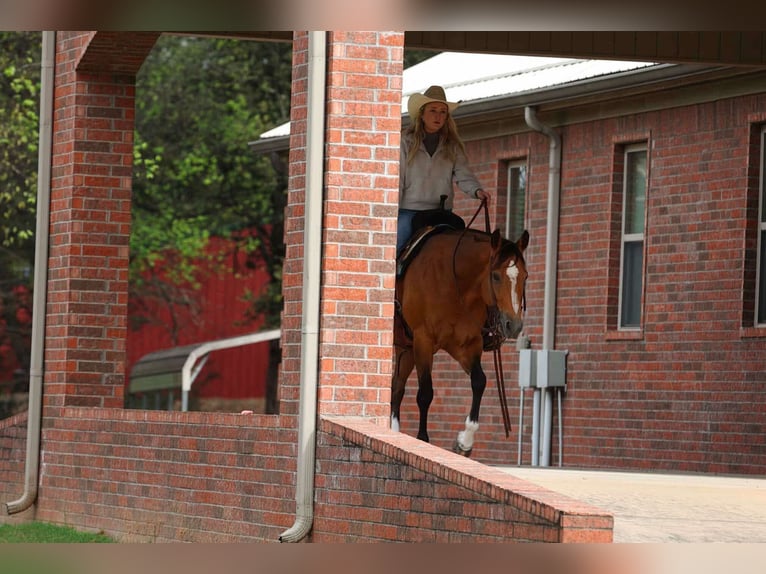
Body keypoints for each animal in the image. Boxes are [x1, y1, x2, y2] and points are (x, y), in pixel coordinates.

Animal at [391, 225, 529, 456]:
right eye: (495, 276)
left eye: (525, 277)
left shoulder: (467, 345)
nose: (514, 325)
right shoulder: (423, 341)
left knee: (397, 387)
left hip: (406, 349)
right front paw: (423, 439)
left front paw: (465, 441)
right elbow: (425, 393)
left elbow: (479, 381)